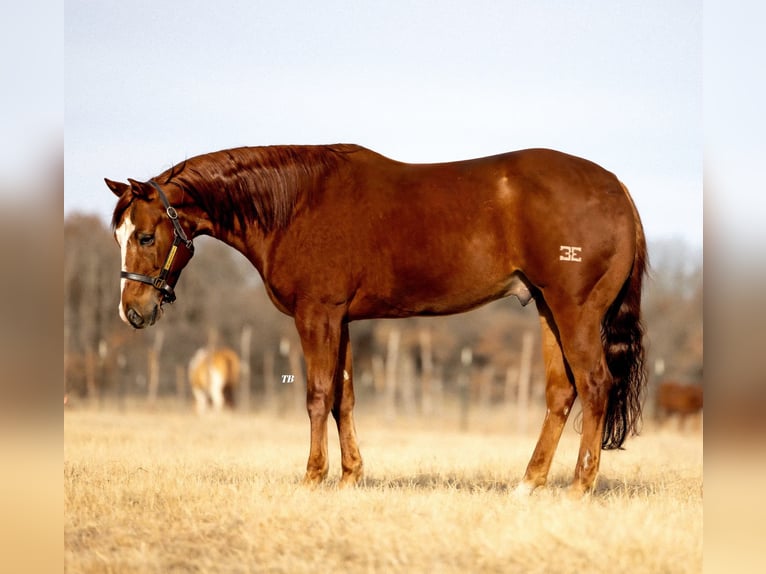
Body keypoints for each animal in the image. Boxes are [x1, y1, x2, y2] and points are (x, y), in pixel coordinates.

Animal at [106, 145, 648, 500]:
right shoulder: (339, 318)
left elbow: (317, 394)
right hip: (547, 309)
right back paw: (528, 483)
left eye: (147, 236)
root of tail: (618, 188)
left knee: (595, 385)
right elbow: (343, 397)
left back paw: (579, 486)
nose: (133, 311)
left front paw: (313, 477)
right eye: (119, 236)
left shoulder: (317, 313)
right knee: (562, 392)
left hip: (575, 311)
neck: (294, 203)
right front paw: (350, 475)